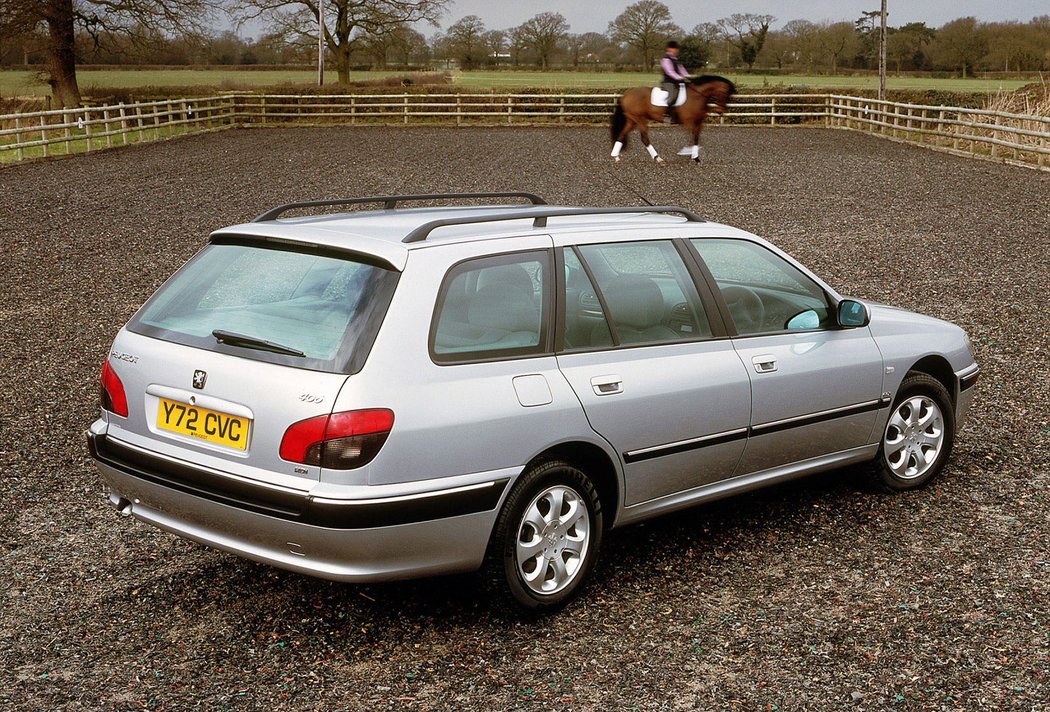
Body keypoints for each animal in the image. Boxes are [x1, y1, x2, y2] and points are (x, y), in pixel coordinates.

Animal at [609, 75, 739, 164]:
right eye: (725, 92)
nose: (721, 110)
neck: (697, 95)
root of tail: (626, 94)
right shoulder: (688, 122)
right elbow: (692, 137)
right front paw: (688, 153)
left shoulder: (698, 122)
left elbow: (696, 138)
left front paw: (696, 157)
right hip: (640, 119)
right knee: (644, 138)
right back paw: (658, 159)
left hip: (632, 120)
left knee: (622, 135)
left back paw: (616, 157)